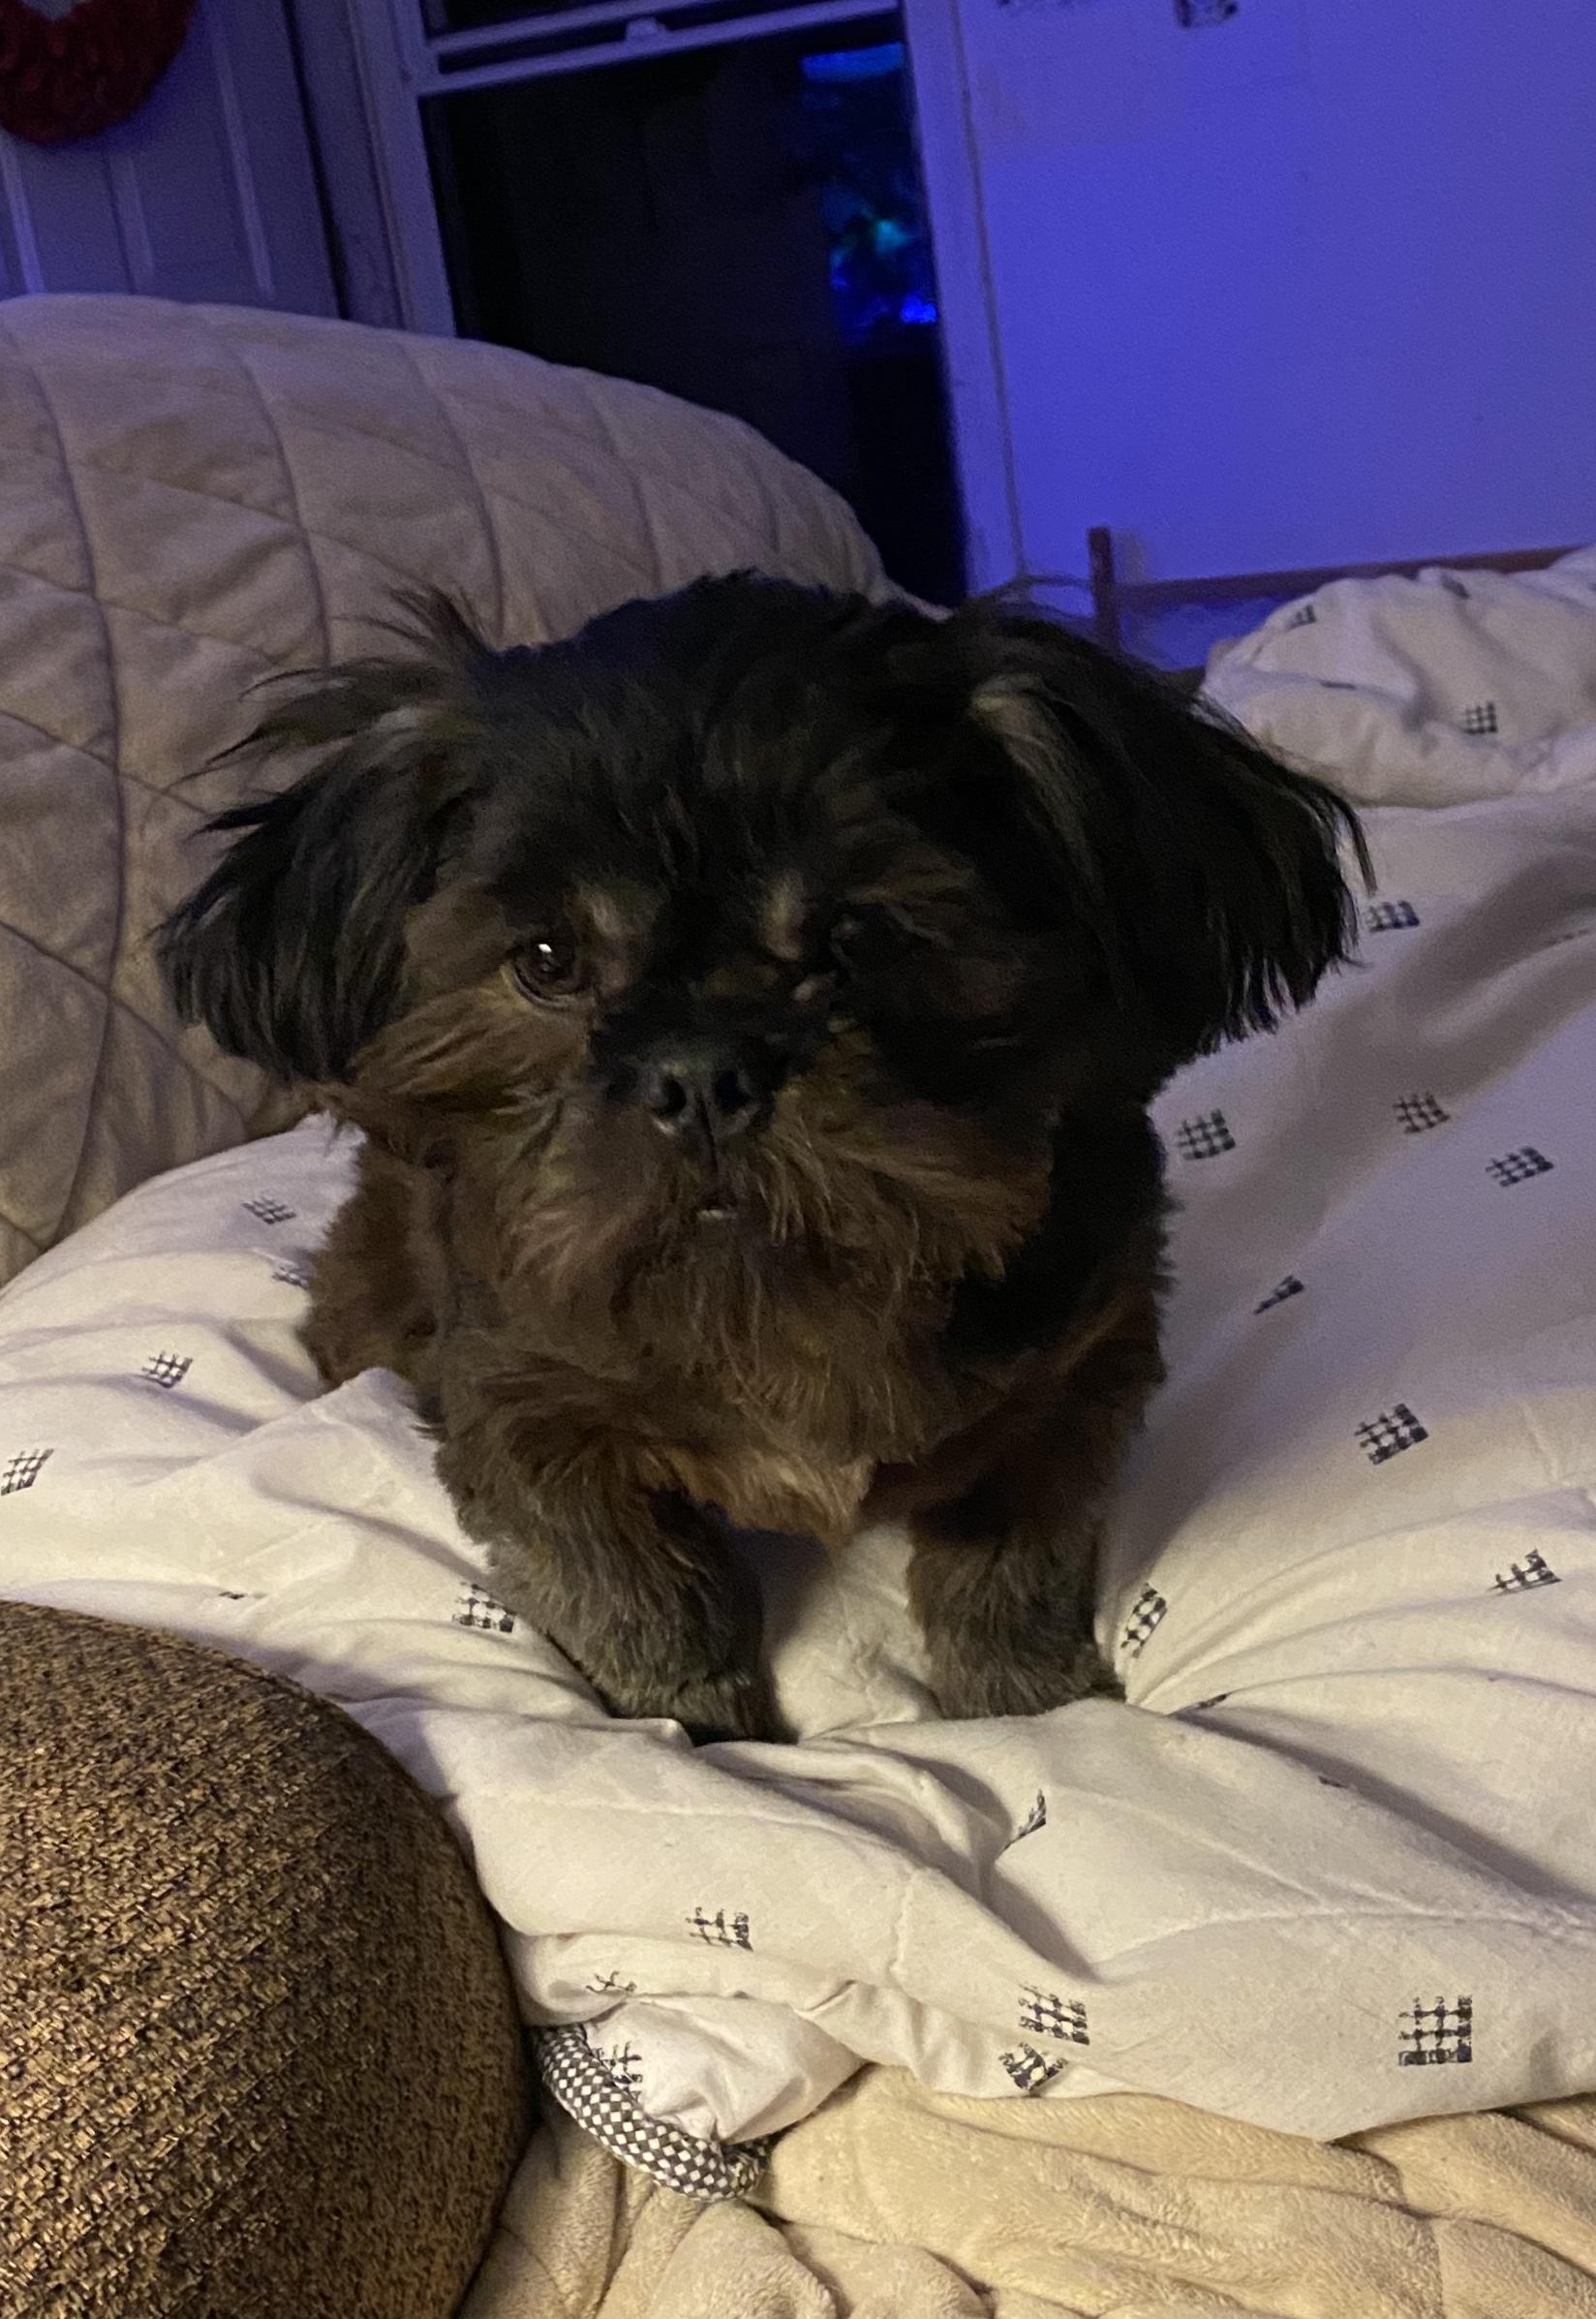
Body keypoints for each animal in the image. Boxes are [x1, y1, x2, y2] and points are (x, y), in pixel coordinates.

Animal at [160, 576, 1362, 1741]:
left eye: (859, 935)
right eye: (547, 958)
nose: (701, 1075)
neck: (778, 1300)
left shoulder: (1071, 1388)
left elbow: (1009, 1568)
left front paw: (1029, 1701)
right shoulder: (529, 1420)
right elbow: (639, 1597)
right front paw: (696, 1727)